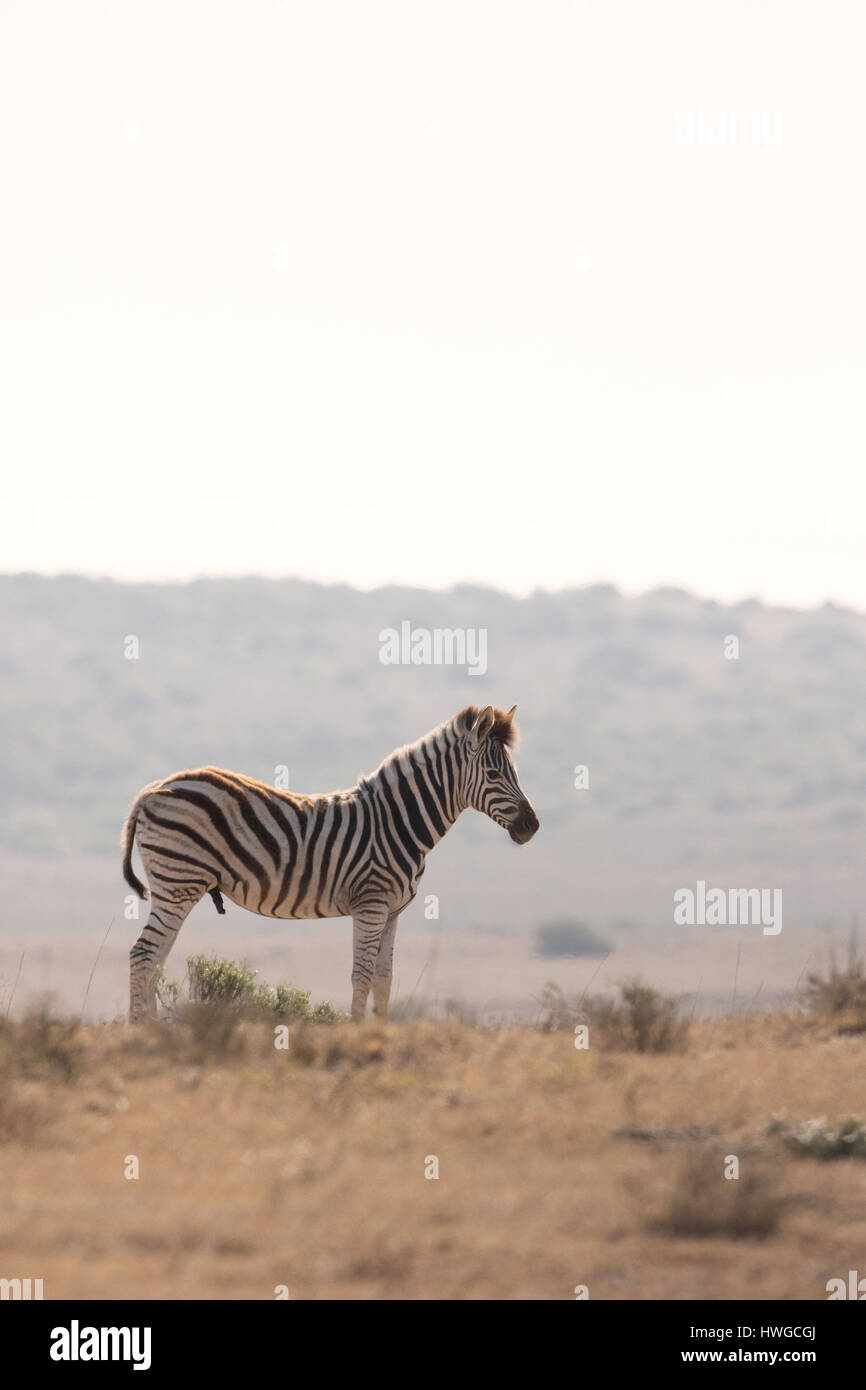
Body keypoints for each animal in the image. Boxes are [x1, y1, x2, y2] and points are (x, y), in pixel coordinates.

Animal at [120, 706, 542, 1023]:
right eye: (494, 774)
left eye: (516, 772)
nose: (532, 826)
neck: (398, 821)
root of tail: (154, 788)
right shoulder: (371, 904)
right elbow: (362, 975)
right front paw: (357, 1032)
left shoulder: (392, 911)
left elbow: (384, 978)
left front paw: (381, 1030)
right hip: (178, 883)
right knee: (143, 955)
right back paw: (143, 1030)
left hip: (176, 888)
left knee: (154, 959)